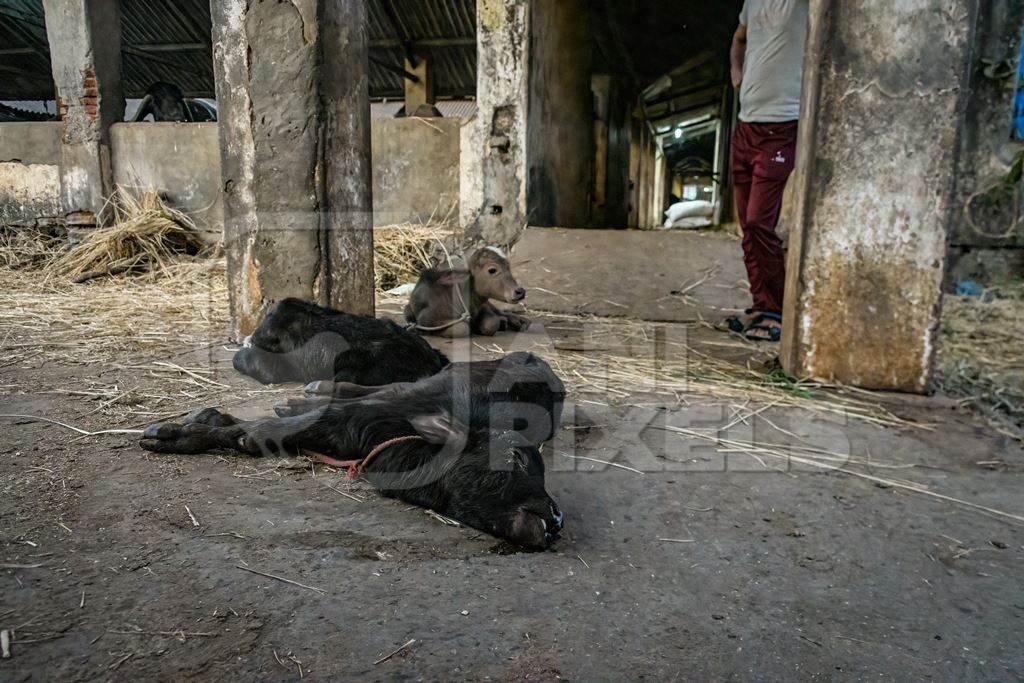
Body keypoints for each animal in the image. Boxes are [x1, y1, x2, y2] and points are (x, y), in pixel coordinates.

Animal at [140, 352, 565, 548]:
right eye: (516, 457)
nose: (557, 518)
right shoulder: (357, 418)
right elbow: (263, 430)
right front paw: (176, 432)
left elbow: (258, 434)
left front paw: (200, 424)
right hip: (450, 374)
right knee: (389, 386)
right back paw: (306, 395)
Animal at [403, 248, 532, 339]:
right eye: (492, 270)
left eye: (508, 267)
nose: (520, 292)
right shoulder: (427, 321)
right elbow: (462, 328)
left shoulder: (482, 308)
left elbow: (491, 323)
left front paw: (499, 322)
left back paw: (518, 320)